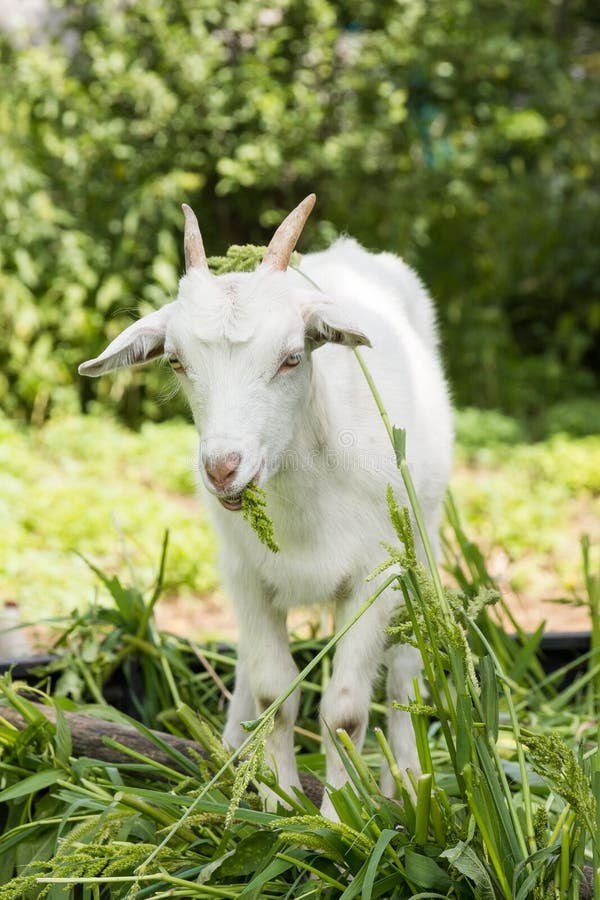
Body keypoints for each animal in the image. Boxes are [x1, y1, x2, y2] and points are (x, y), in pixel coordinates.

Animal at [81, 197, 454, 816]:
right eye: (176, 361)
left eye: (291, 357)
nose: (223, 467)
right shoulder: (247, 577)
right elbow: (273, 695)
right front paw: (277, 806)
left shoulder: (371, 579)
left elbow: (345, 711)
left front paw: (340, 817)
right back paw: (229, 749)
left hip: (420, 542)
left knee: (406, 665)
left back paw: (404, 781)